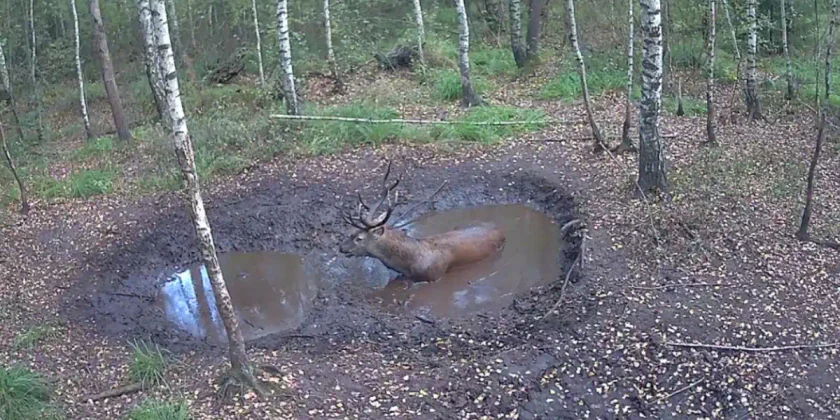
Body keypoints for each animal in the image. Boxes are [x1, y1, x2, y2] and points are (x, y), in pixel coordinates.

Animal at [338, 161, 506, 284]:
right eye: (351, 233)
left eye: (359, 238)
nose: (341, 247)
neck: (410, 264)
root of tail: (498, 227)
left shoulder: (434, 276)